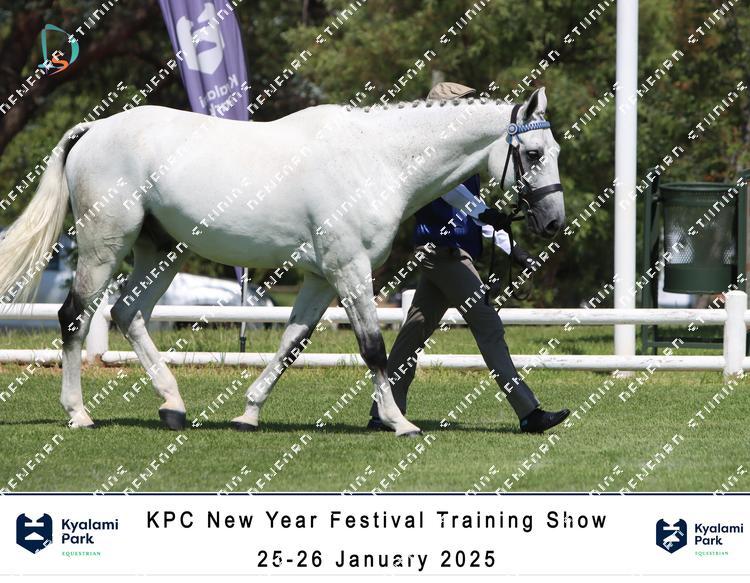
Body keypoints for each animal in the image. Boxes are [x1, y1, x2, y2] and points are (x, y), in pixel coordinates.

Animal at [0, 87, 564, 437]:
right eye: (534, 153)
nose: (554, 222)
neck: (375, 159)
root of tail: (94, 129)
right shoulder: (349, 269)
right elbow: (374, 349)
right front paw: (399, 423)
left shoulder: (319, 277)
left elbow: (292, 344)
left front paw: (248, 414)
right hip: (103, 245)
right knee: (75, 317)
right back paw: (79, 414)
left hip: (160, 250)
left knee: (128, 312)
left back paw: (173, 406)